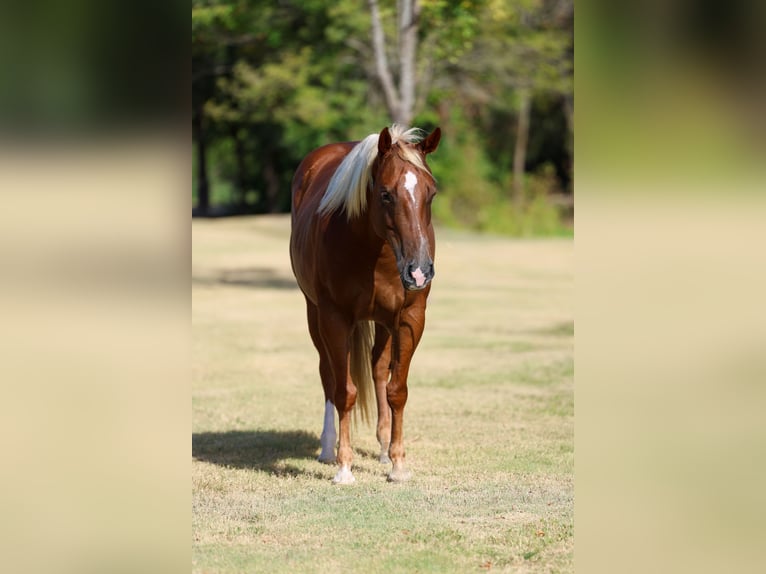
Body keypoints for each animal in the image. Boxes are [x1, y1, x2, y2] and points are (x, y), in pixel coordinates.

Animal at [289, 124, 441, 484]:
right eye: (386, 194)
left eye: (431, 193)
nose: (419, 270)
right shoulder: (334, 318)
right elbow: (344, 391)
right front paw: (344, 467)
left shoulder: (409, 318)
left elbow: (397, 389)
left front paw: (398, 464)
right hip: (314, 315)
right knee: (328, 374)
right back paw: (327, 448)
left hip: (384, 323)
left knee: (377, 369)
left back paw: (384, 448)